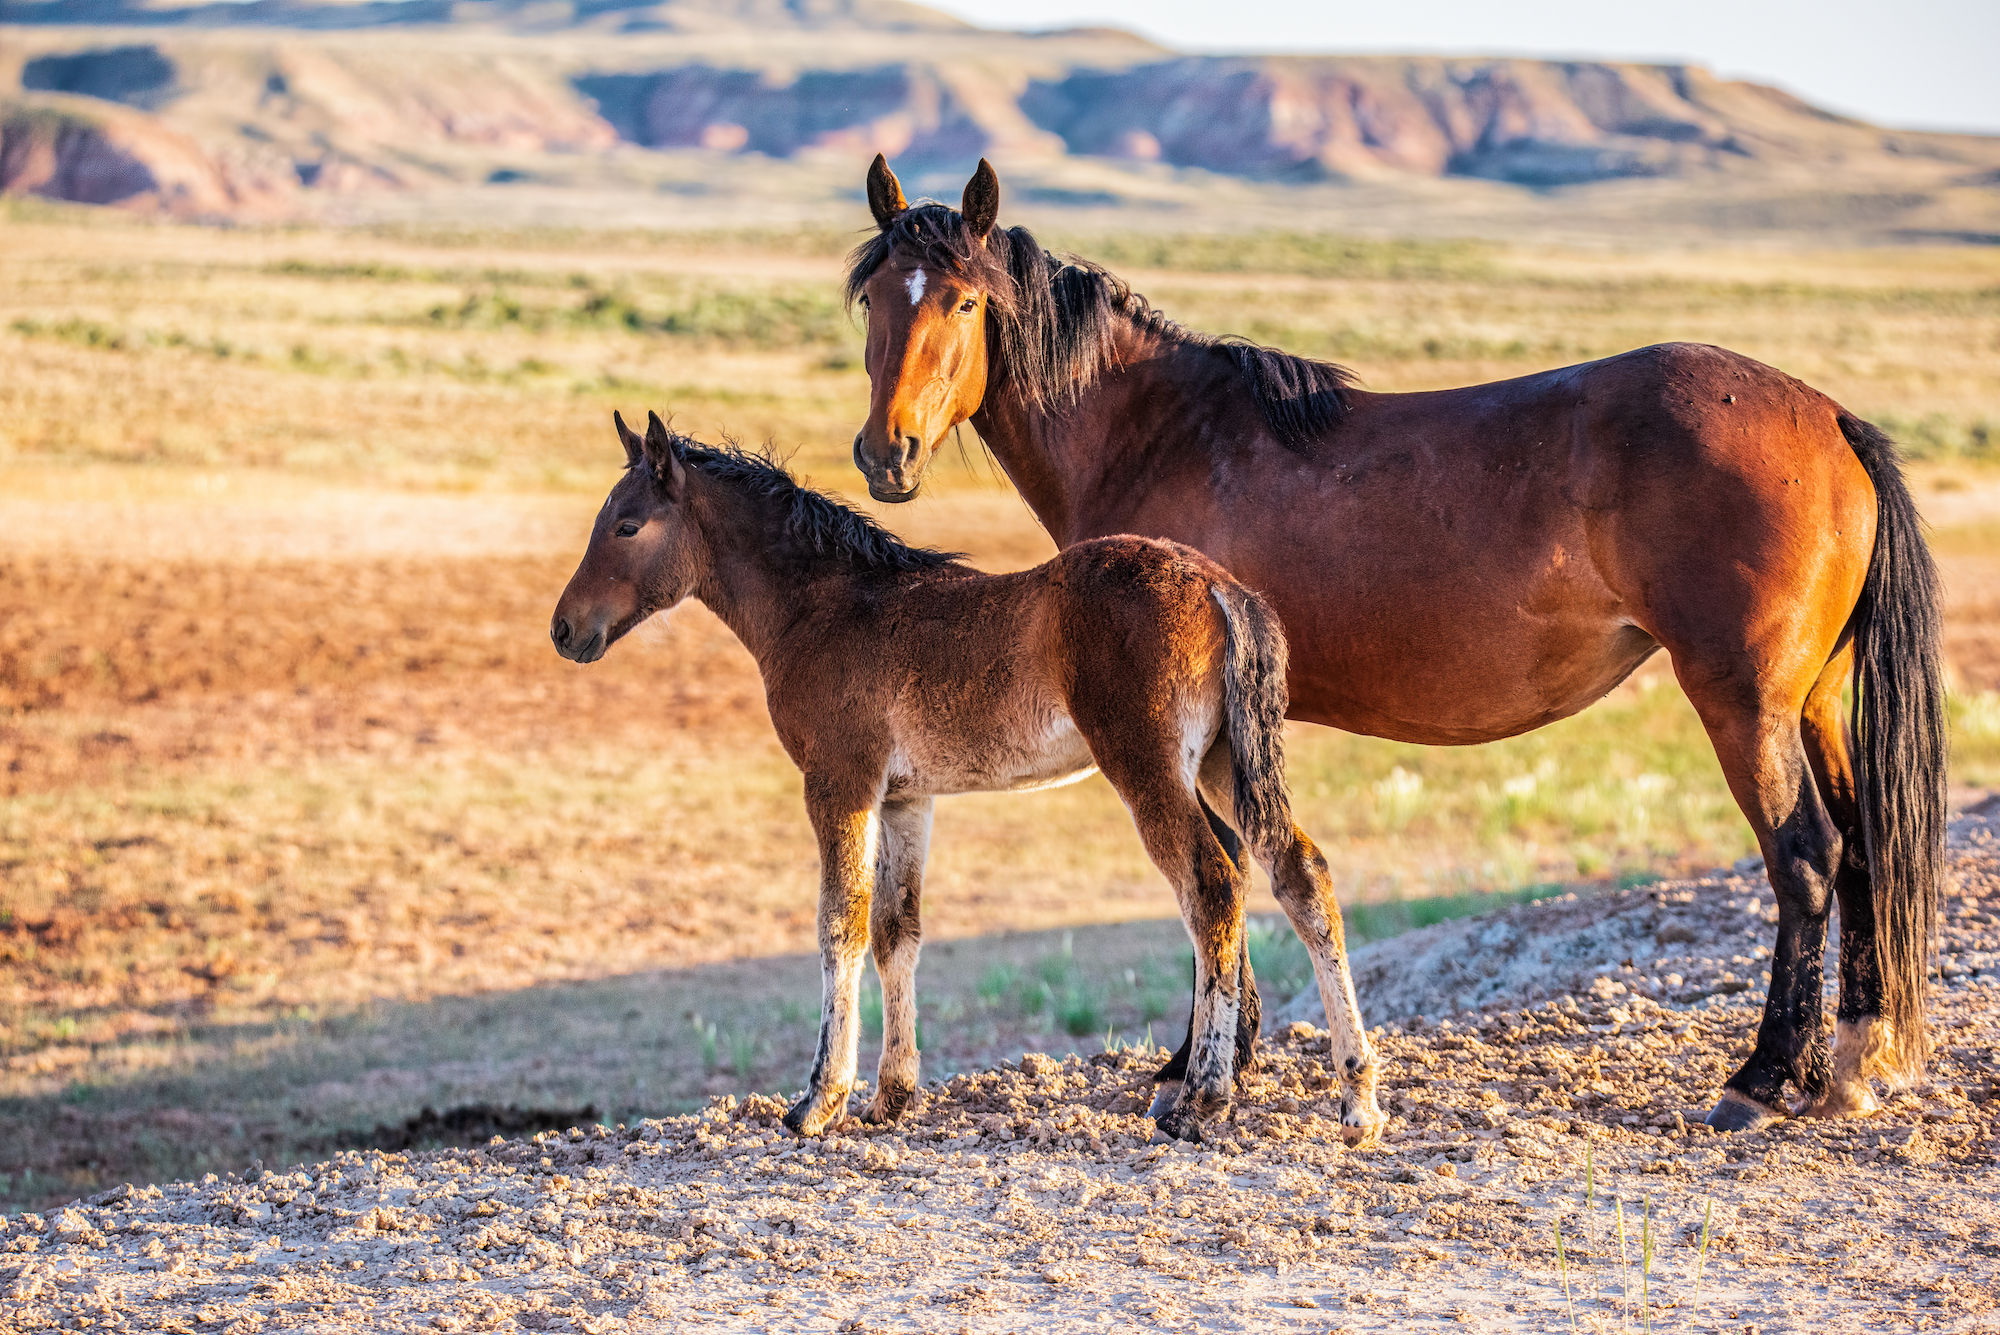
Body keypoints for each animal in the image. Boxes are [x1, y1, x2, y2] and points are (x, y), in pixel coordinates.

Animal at [550, 410, 1386, 1145]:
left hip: (1147, 763)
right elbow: (896, 930)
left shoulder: (839, 782)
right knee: (1301, 874)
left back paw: (1203, 1098)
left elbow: (839, 924)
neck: (824, 608)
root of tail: (1219, 586)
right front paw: (890, 1096)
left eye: (627, 525)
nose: (564, 628)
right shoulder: (904, 798)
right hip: (1221, 763)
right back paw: (1358, 1098)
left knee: (1212, 888)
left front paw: (818, 1100)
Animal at [843, 155, 1947, 1134]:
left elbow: (1218, 880)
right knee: (1859, 850)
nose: (886, 454)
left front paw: (1197, 1071)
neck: (1160, 435)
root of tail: (1827, 418)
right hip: (1811, 702)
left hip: (1742, 702)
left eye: (964, 303)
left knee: (1805, 859)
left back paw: (1758, 1079)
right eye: (873, 301)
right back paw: (1852, 1066)